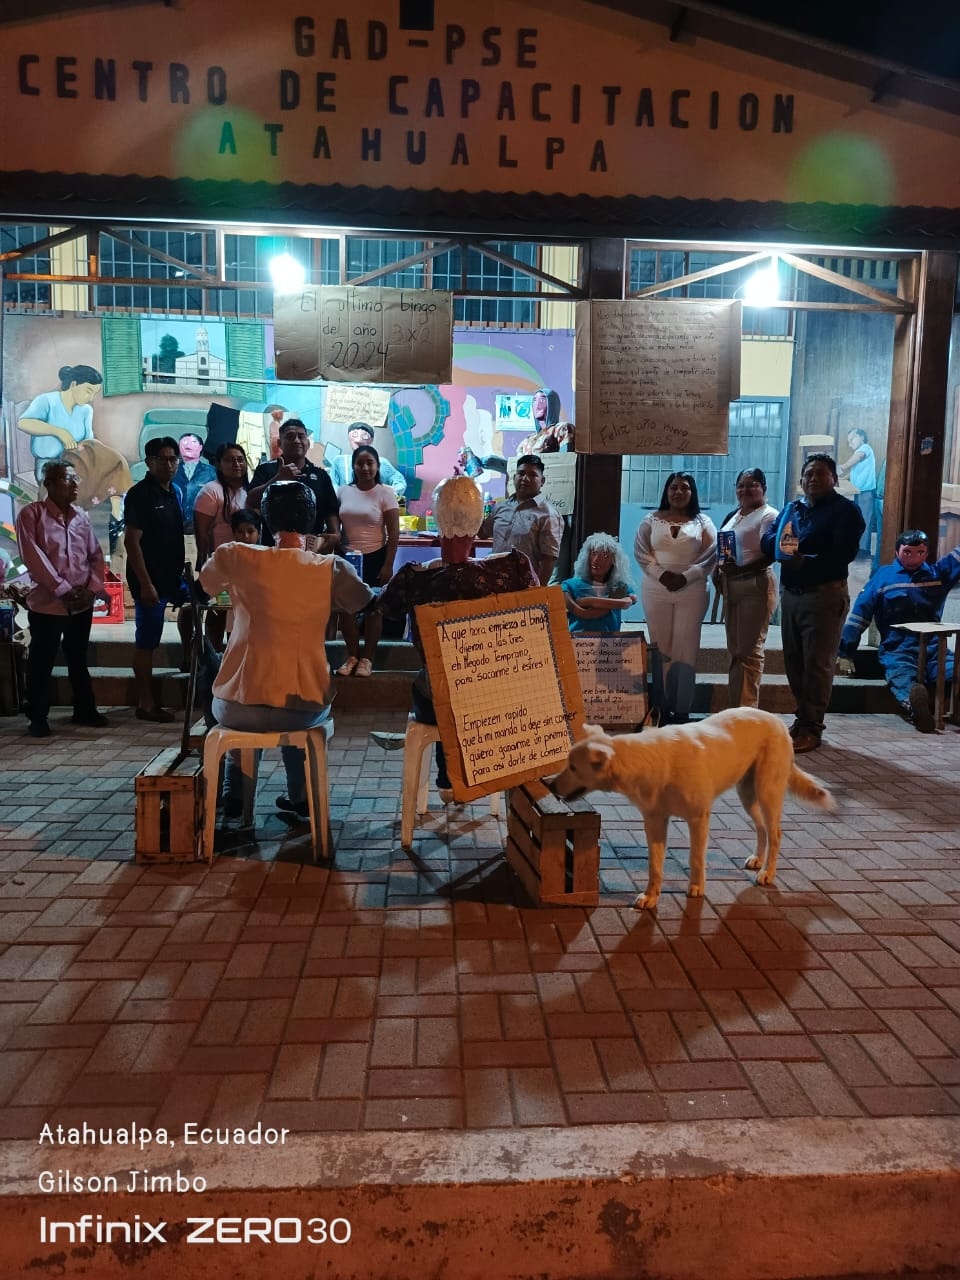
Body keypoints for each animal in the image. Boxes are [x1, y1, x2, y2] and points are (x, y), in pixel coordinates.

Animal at [553, 708, 835, 910]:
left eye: (574, 767)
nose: (550, 784)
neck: (650, 762)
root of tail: (776, 720)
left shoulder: (698, 819)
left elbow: (696, 858)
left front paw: (696, 888)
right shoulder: (654, 823)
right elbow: (655, 866)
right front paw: (651, 897)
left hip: (768, 793)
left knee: (776, 834)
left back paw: (768, 873)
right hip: (747, 795)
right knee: (761, 829)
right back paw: (758, 859)